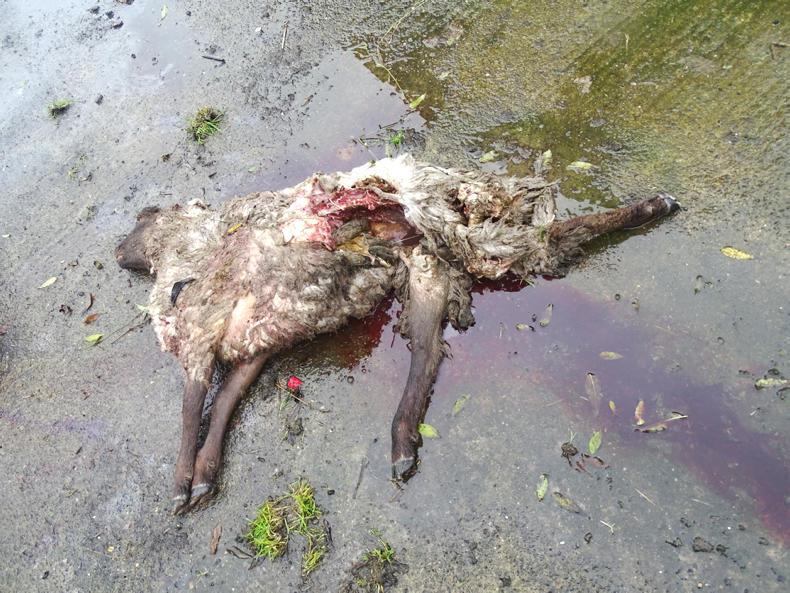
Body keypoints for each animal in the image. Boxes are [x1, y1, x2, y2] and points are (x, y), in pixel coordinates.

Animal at [115, 154, 679, 513]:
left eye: (142, 217)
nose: (117, 252)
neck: (190, 250)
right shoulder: (252, 344)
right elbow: (225, 402)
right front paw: (206, 475)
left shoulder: (200, 331)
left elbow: (190, 409)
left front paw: (181, 484)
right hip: (429, 271)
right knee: (428, 353)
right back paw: (403, 443)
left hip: (463, 230)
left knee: (550, 238)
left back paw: (654, 205)